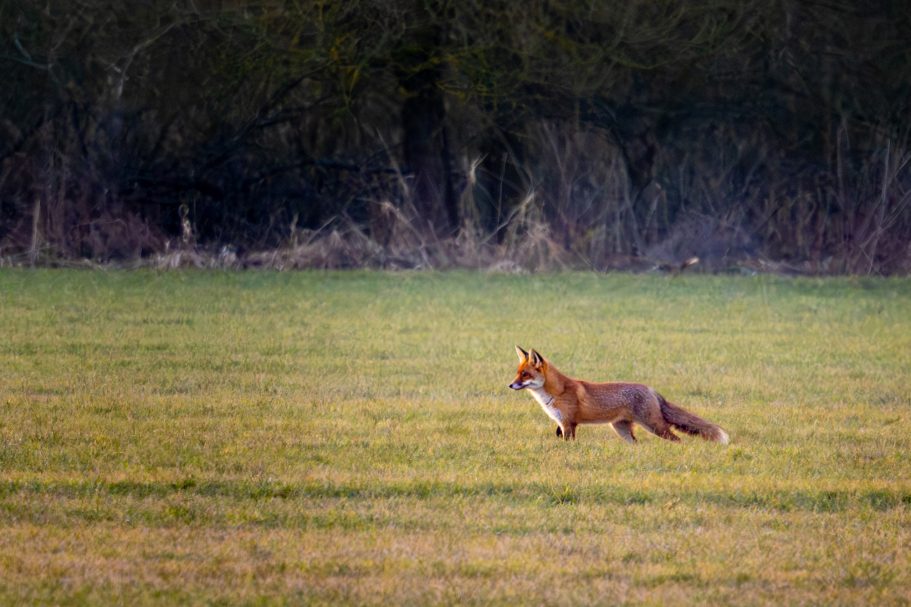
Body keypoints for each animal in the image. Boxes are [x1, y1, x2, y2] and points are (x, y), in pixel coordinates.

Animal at [508, 346, 729, 444]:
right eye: (517, 373)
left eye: (525, 374)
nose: (510, 385)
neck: (557, 392)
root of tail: (651, 389)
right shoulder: (562, 424)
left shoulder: (568, 423)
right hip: (622, 429)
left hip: (654, 426)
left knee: (677, 439)